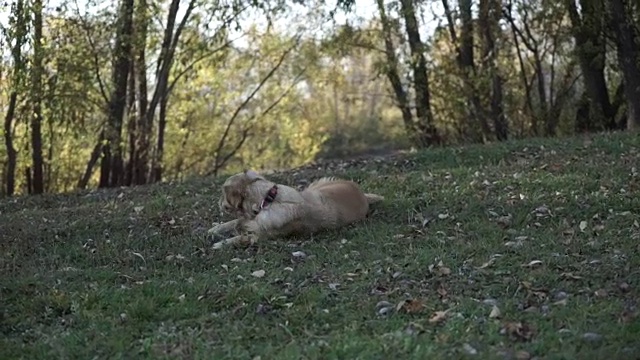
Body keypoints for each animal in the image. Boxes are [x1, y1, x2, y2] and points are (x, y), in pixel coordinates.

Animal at [208, 170, 382, 249]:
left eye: (223, 193)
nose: (217, 202)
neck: (269, 200)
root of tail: (362, 193)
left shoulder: (260, 236)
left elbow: (241, 237)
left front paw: (221, 243)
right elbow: (235, 221)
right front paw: (215, 229)